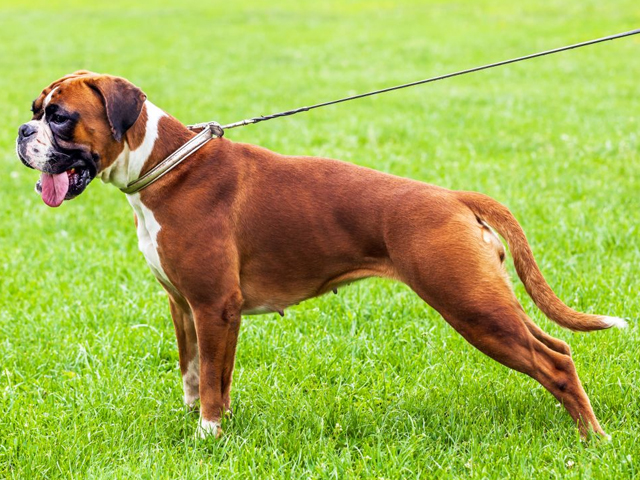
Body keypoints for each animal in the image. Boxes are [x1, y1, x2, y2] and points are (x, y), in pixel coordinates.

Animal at [16, 70, 624, 438]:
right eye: (35, 110)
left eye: (60, 117)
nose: (22, 131)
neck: (164, 165)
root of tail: (452, 197)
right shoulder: (187, 307)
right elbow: (201, 373)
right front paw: (209, 426)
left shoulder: (214, 307)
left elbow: (210, 376)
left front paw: (207, 434)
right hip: (489, 301)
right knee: (556, 348)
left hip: (471, 306)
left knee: (553, 362)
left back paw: (592, 439)